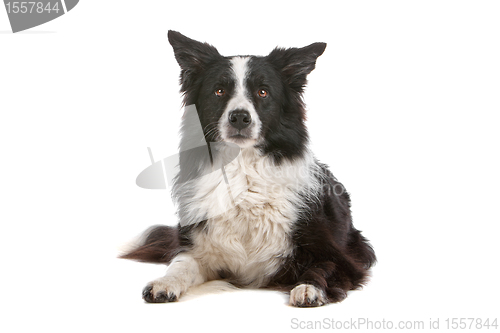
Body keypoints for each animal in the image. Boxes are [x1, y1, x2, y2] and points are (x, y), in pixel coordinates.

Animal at [122, 31, 376, 306]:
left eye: (263, 92)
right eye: (219, 91)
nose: (240, 117)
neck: (243, 170)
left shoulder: (341, 258)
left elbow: (321, 268)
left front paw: (309, 288)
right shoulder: (201, 248)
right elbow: (180, 264)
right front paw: (165, 283)